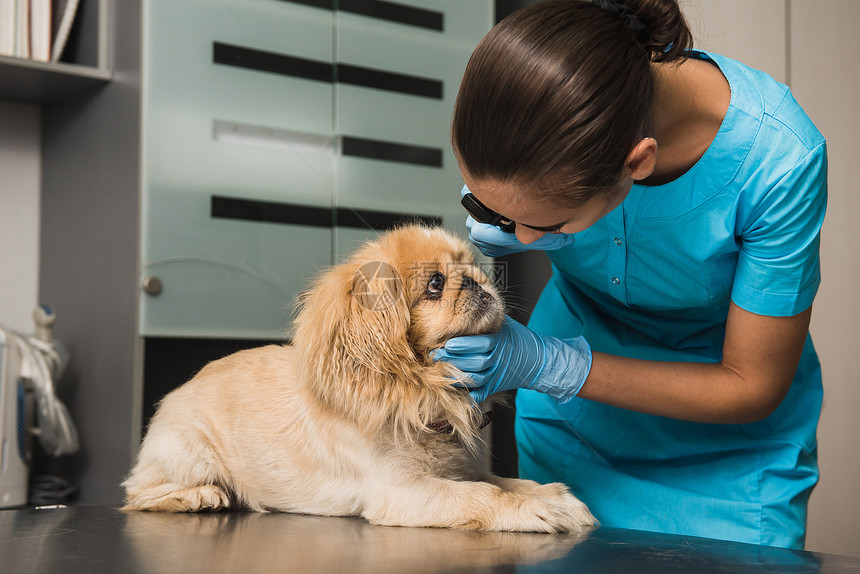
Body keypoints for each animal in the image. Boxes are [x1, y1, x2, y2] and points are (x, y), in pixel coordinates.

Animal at [121, 225, 596, 536]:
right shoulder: (402, 491)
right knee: (137, 493)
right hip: (187, 455)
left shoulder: (461, 470)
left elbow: (506, 482)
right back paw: (201, 496)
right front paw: (533, 511)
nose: (477, 281)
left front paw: (554, 497)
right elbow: (484, 496)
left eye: (473, 267)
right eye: (435, 283)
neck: (424, 396)